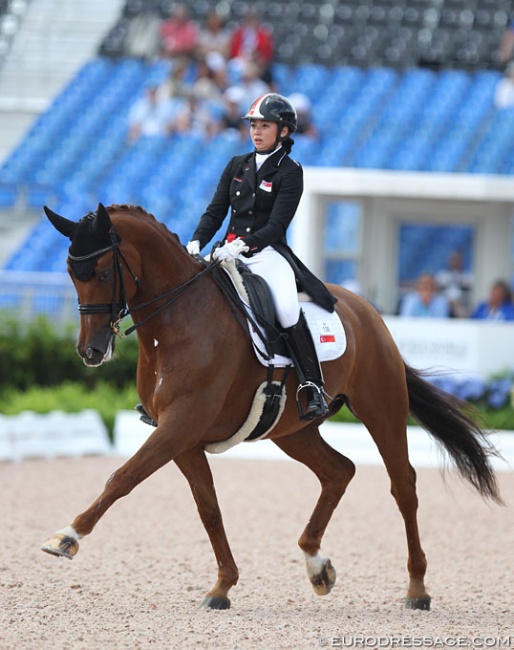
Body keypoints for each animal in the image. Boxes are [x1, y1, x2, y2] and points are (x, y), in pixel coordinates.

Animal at [41, 201, 500, 608]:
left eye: (103, 271)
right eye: (71, 272)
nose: (90, 351)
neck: (178, 322)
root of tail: (367, 311)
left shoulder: (181, 425)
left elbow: (123, 477)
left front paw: (67, 537)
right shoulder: (183, 438)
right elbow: (208, 507)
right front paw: (222, 586)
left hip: (381, 410)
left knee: (403, 485)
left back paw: (417, 589)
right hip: (291, 430)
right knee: (339, 471)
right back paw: (317, 565)